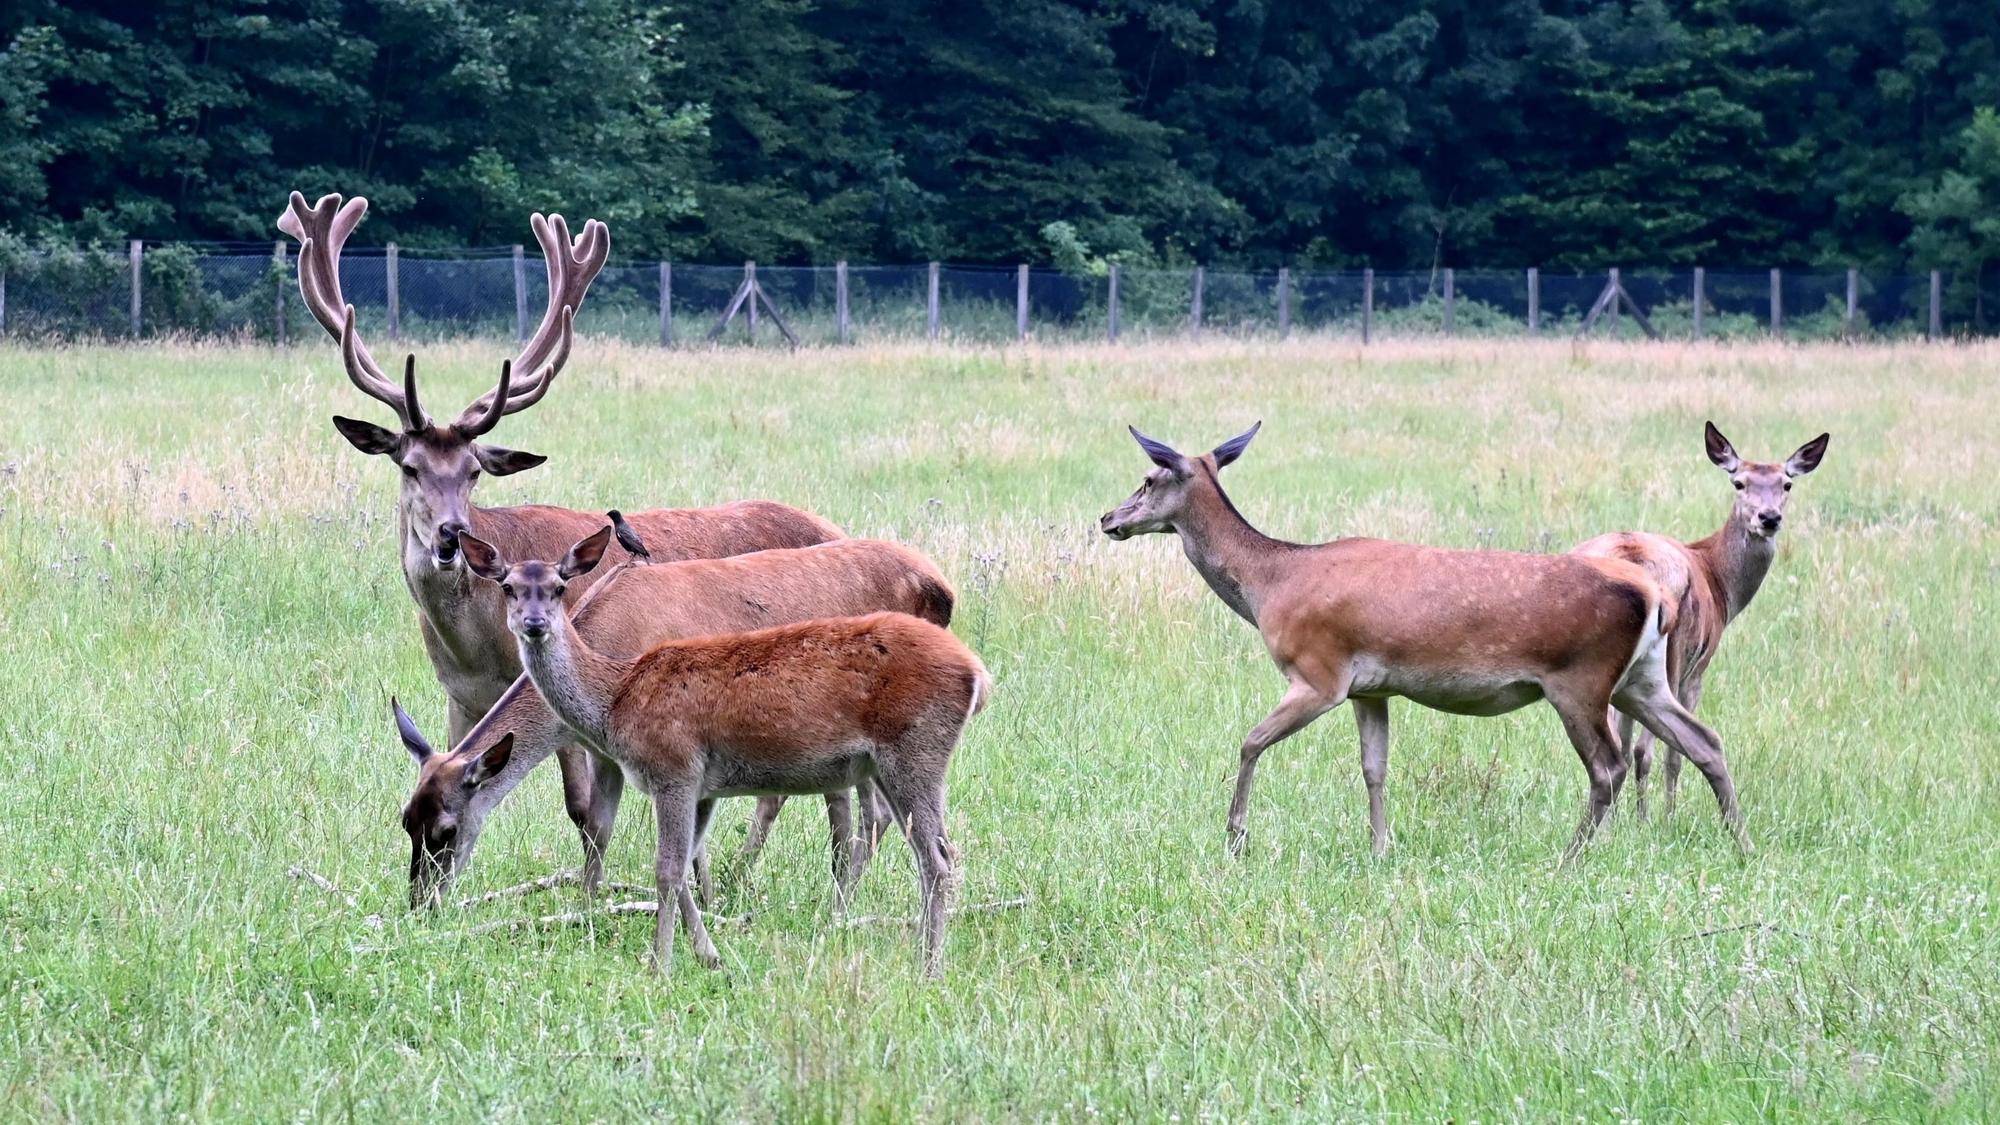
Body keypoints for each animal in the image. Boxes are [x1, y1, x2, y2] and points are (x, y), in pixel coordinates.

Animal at [278, 192, 844, 896]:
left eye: (473, 471)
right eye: (408, 466)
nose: (450, 535)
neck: (476, 647)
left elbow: (581, 809)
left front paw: (589, 893)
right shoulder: (456, 698)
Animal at [458, 527, 990, 977]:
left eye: (558, 587)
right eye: (507, 587)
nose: (533, 623)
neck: (614, 699)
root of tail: (977, 675)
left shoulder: (674, 768)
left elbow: (667, 869)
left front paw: (660, 965)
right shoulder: (704, 786)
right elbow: (686, 866)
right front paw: (709, 955)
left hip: (916, 751)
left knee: (937, 857)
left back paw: (928, 966)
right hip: (884, 765)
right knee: (915, 842)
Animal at [1099, 422, 1752, 862]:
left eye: (1148, 478)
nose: (1108, 519)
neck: (1271, 587)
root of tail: (1654, 591)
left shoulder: (1318, 672)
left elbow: (1250, 741)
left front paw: (1235, 837)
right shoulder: (1370, 688)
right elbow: (1374, 767)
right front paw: (1381, 847)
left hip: (1581, 678)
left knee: (1609, 766)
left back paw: (1570, 857)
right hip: (1641, 678)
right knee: (1705, 739)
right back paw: (1740, 841)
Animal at [1573, 422, 1828, 818]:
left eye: (1787, 484)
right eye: (1738, 482)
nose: (1769, 518)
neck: (1721, 585)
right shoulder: (1698, 670)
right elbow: (1670, 754)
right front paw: (1662, 816)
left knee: (1619, 744)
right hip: (1673, 654)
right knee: (1648, 749)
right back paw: (1656, 819)